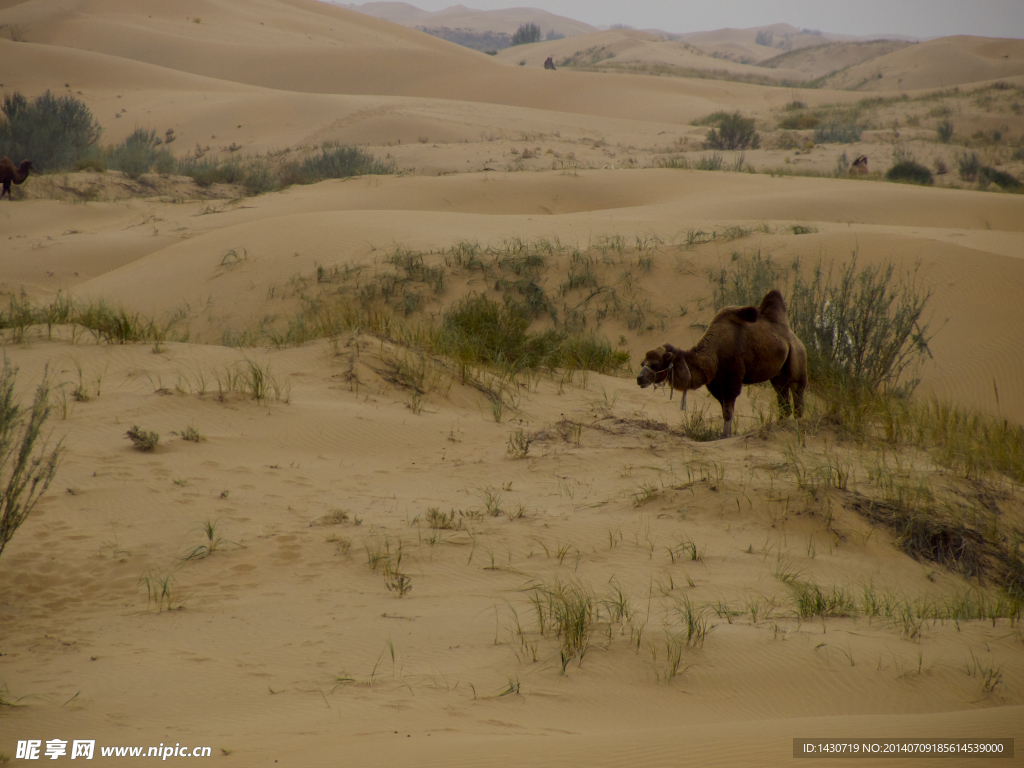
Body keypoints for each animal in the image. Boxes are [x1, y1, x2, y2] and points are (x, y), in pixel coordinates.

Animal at [630, 290, 806, 438]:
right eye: (643, 363)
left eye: (656, 364)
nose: (639, 379)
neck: (713, 354)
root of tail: (794, 338)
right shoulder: (714, 383)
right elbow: (724, 410)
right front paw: (726, 434)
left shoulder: (732, 377)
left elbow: (728, 411)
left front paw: (725, 436)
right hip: (778, 375)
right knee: (783, 398)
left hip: (797, 357)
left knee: (797, 391)